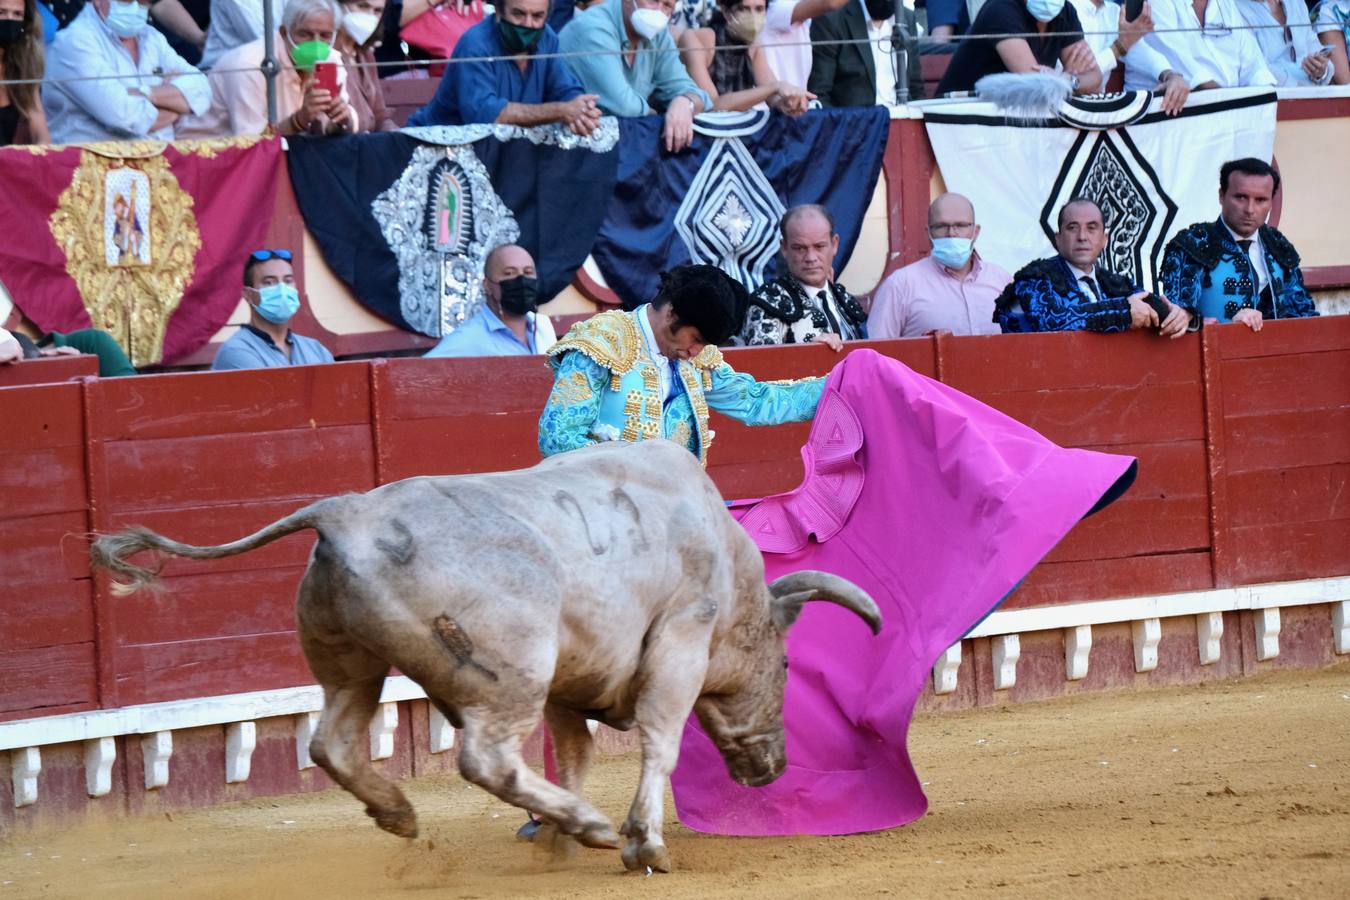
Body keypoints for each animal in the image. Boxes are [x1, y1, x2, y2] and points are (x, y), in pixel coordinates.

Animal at [89, 442, 880, 874]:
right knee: (486, 759)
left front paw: (560, 844)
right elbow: (660, 741)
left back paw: (402, 814)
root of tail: (344, 512)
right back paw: (589, 825)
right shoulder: (681, 638)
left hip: (352, 662)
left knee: (332, 741)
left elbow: (575, 750)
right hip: (512, 673)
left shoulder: (569, 683)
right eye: (785, 667)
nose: (771, 767)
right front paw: (640, 843)